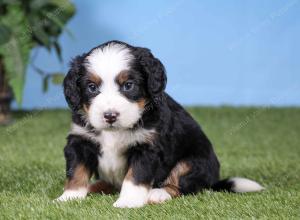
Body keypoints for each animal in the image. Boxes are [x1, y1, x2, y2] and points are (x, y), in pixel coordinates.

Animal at [55, 40, 264, 208]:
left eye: (128, 85)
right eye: (92, 87)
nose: (110, 115)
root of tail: (213, 180)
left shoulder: (147, 146)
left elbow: (135, 176)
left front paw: (128, 202)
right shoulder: (80, 140)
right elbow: (77, 172)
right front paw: (69, 197)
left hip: (194, 162)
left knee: (181, 185)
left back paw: (157, 194)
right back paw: (94, 187)